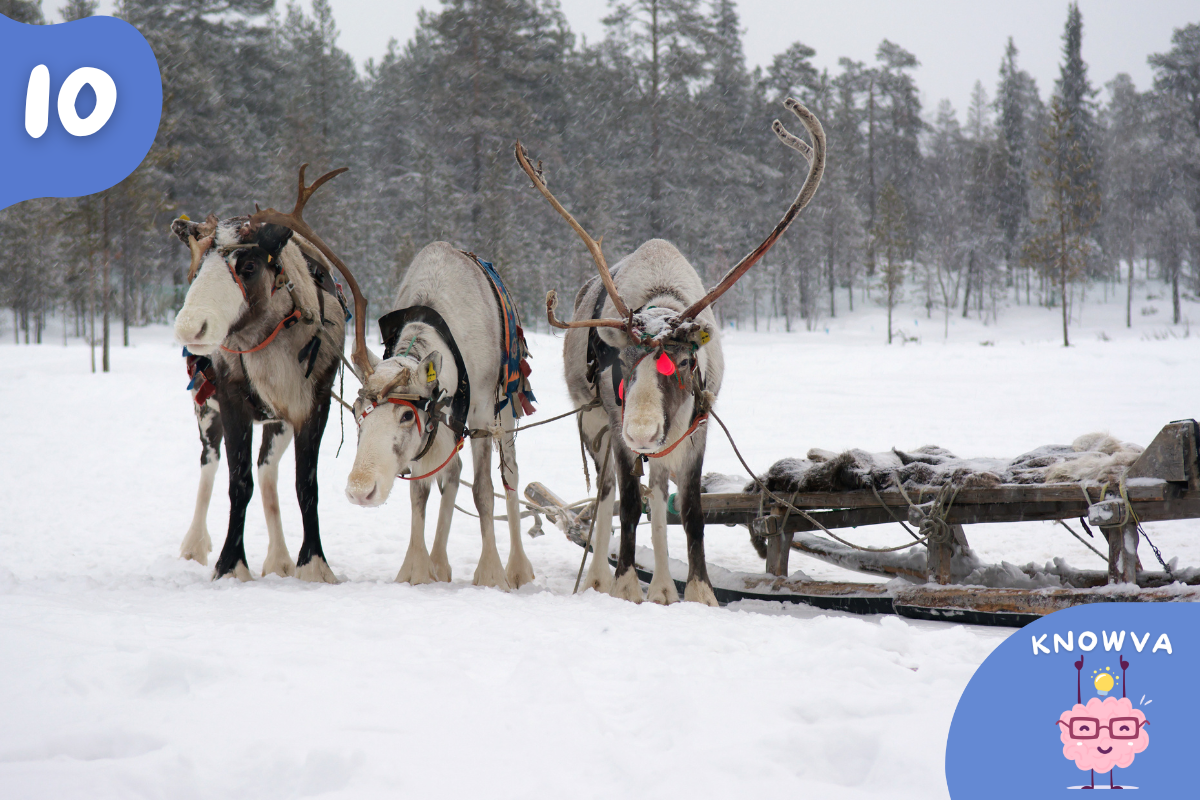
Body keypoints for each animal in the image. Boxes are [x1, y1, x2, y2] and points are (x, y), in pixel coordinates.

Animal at [171, 165, 371, 583]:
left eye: (247, 267)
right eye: (196, 270)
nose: (189, 327)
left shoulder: (313, 404)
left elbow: (305, 485)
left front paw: (313, 563)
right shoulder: (232, 401)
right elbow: (238, 483)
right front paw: (231, 564)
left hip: (276, 422)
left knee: (267, 472)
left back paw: (279, 558)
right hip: (205, 408)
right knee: (209, 463)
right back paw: (194, 544)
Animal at [343, 242, 538, 591]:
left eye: (407, 415)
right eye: (355, 411)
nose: (360, 490)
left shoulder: (481, 416)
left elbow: (484, 491)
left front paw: (491, 573)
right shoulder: (431, 434)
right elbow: (419, 493)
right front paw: (417, 569)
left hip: (506, 411)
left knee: (511, 477)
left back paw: (518, 567)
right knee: (453, 471)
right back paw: (439, 562)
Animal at [514, 97, 825, 605]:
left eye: (682, 362)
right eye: (620, 362)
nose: (642, 431)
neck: (661, 303)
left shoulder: (698, 426)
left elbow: (691, 509)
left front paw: (699, 591)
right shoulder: (616, 422)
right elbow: (627, 502)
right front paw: (624, 584)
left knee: (659, 492)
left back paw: (662, 586)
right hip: (594, 422)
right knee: (606, 493)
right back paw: (599, 578)